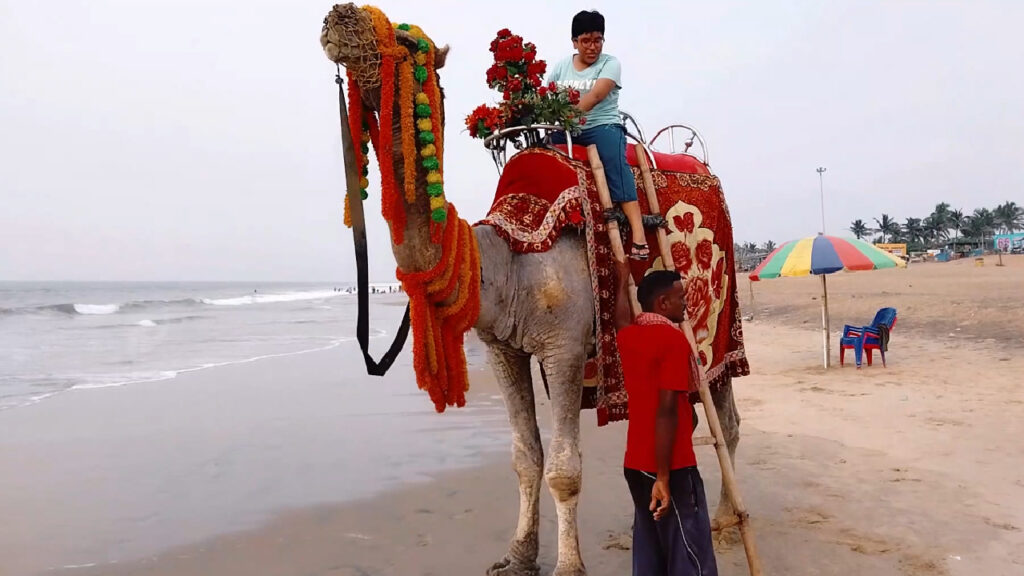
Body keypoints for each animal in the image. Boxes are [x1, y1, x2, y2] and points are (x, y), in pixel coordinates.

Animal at [323, 5, 741, 573]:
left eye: (406, 43)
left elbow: (564, 467)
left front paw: (568, 564)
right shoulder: (503, 346)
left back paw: (726, 519)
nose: (339, 16)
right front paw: (519, 555)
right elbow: (526, 457)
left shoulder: (564, 348)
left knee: (726, 413)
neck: (508, 258)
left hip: (717, 326)